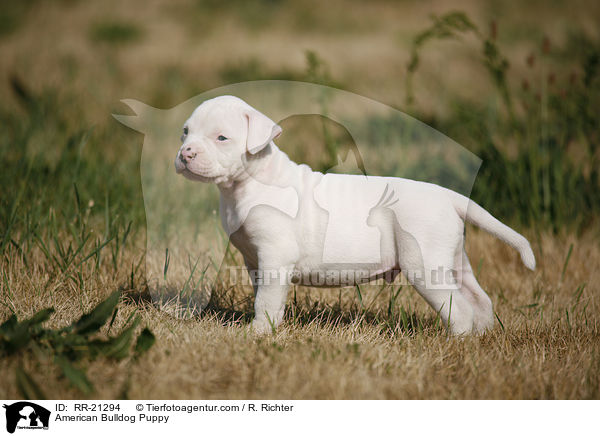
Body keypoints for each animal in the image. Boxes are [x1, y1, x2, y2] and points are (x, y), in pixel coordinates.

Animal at [173, 94, 536, 334]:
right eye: (186, 132)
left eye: (222, 137)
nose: (185, 154)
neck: (246, 185)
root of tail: (448, 196)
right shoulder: (255, 261)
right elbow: (264, 296)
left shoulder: (275, 255)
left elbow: (266, 300)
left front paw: (258, 334)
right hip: (455, 260)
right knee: (479, 300)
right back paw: (481, 338)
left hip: (425, 265)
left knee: (458, 309)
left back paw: (456, 343)